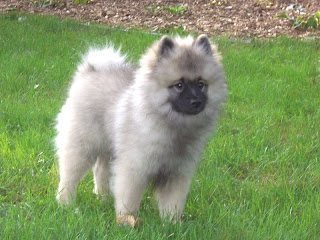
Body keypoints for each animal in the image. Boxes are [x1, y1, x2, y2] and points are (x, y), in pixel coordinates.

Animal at [55, 34, 226, 225]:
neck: (173, 126)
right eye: (179, 85)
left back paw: (103, 198)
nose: (196, 102)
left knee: (100, 170)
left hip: (109, 147)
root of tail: (90, 70)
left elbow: (173, 202)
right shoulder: (134, 167)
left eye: (201, 84)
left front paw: (171, 224)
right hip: (83, 145)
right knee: (69, 176)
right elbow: (128, 198)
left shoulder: (176, 173)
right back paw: (66, 204)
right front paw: (126, 220)